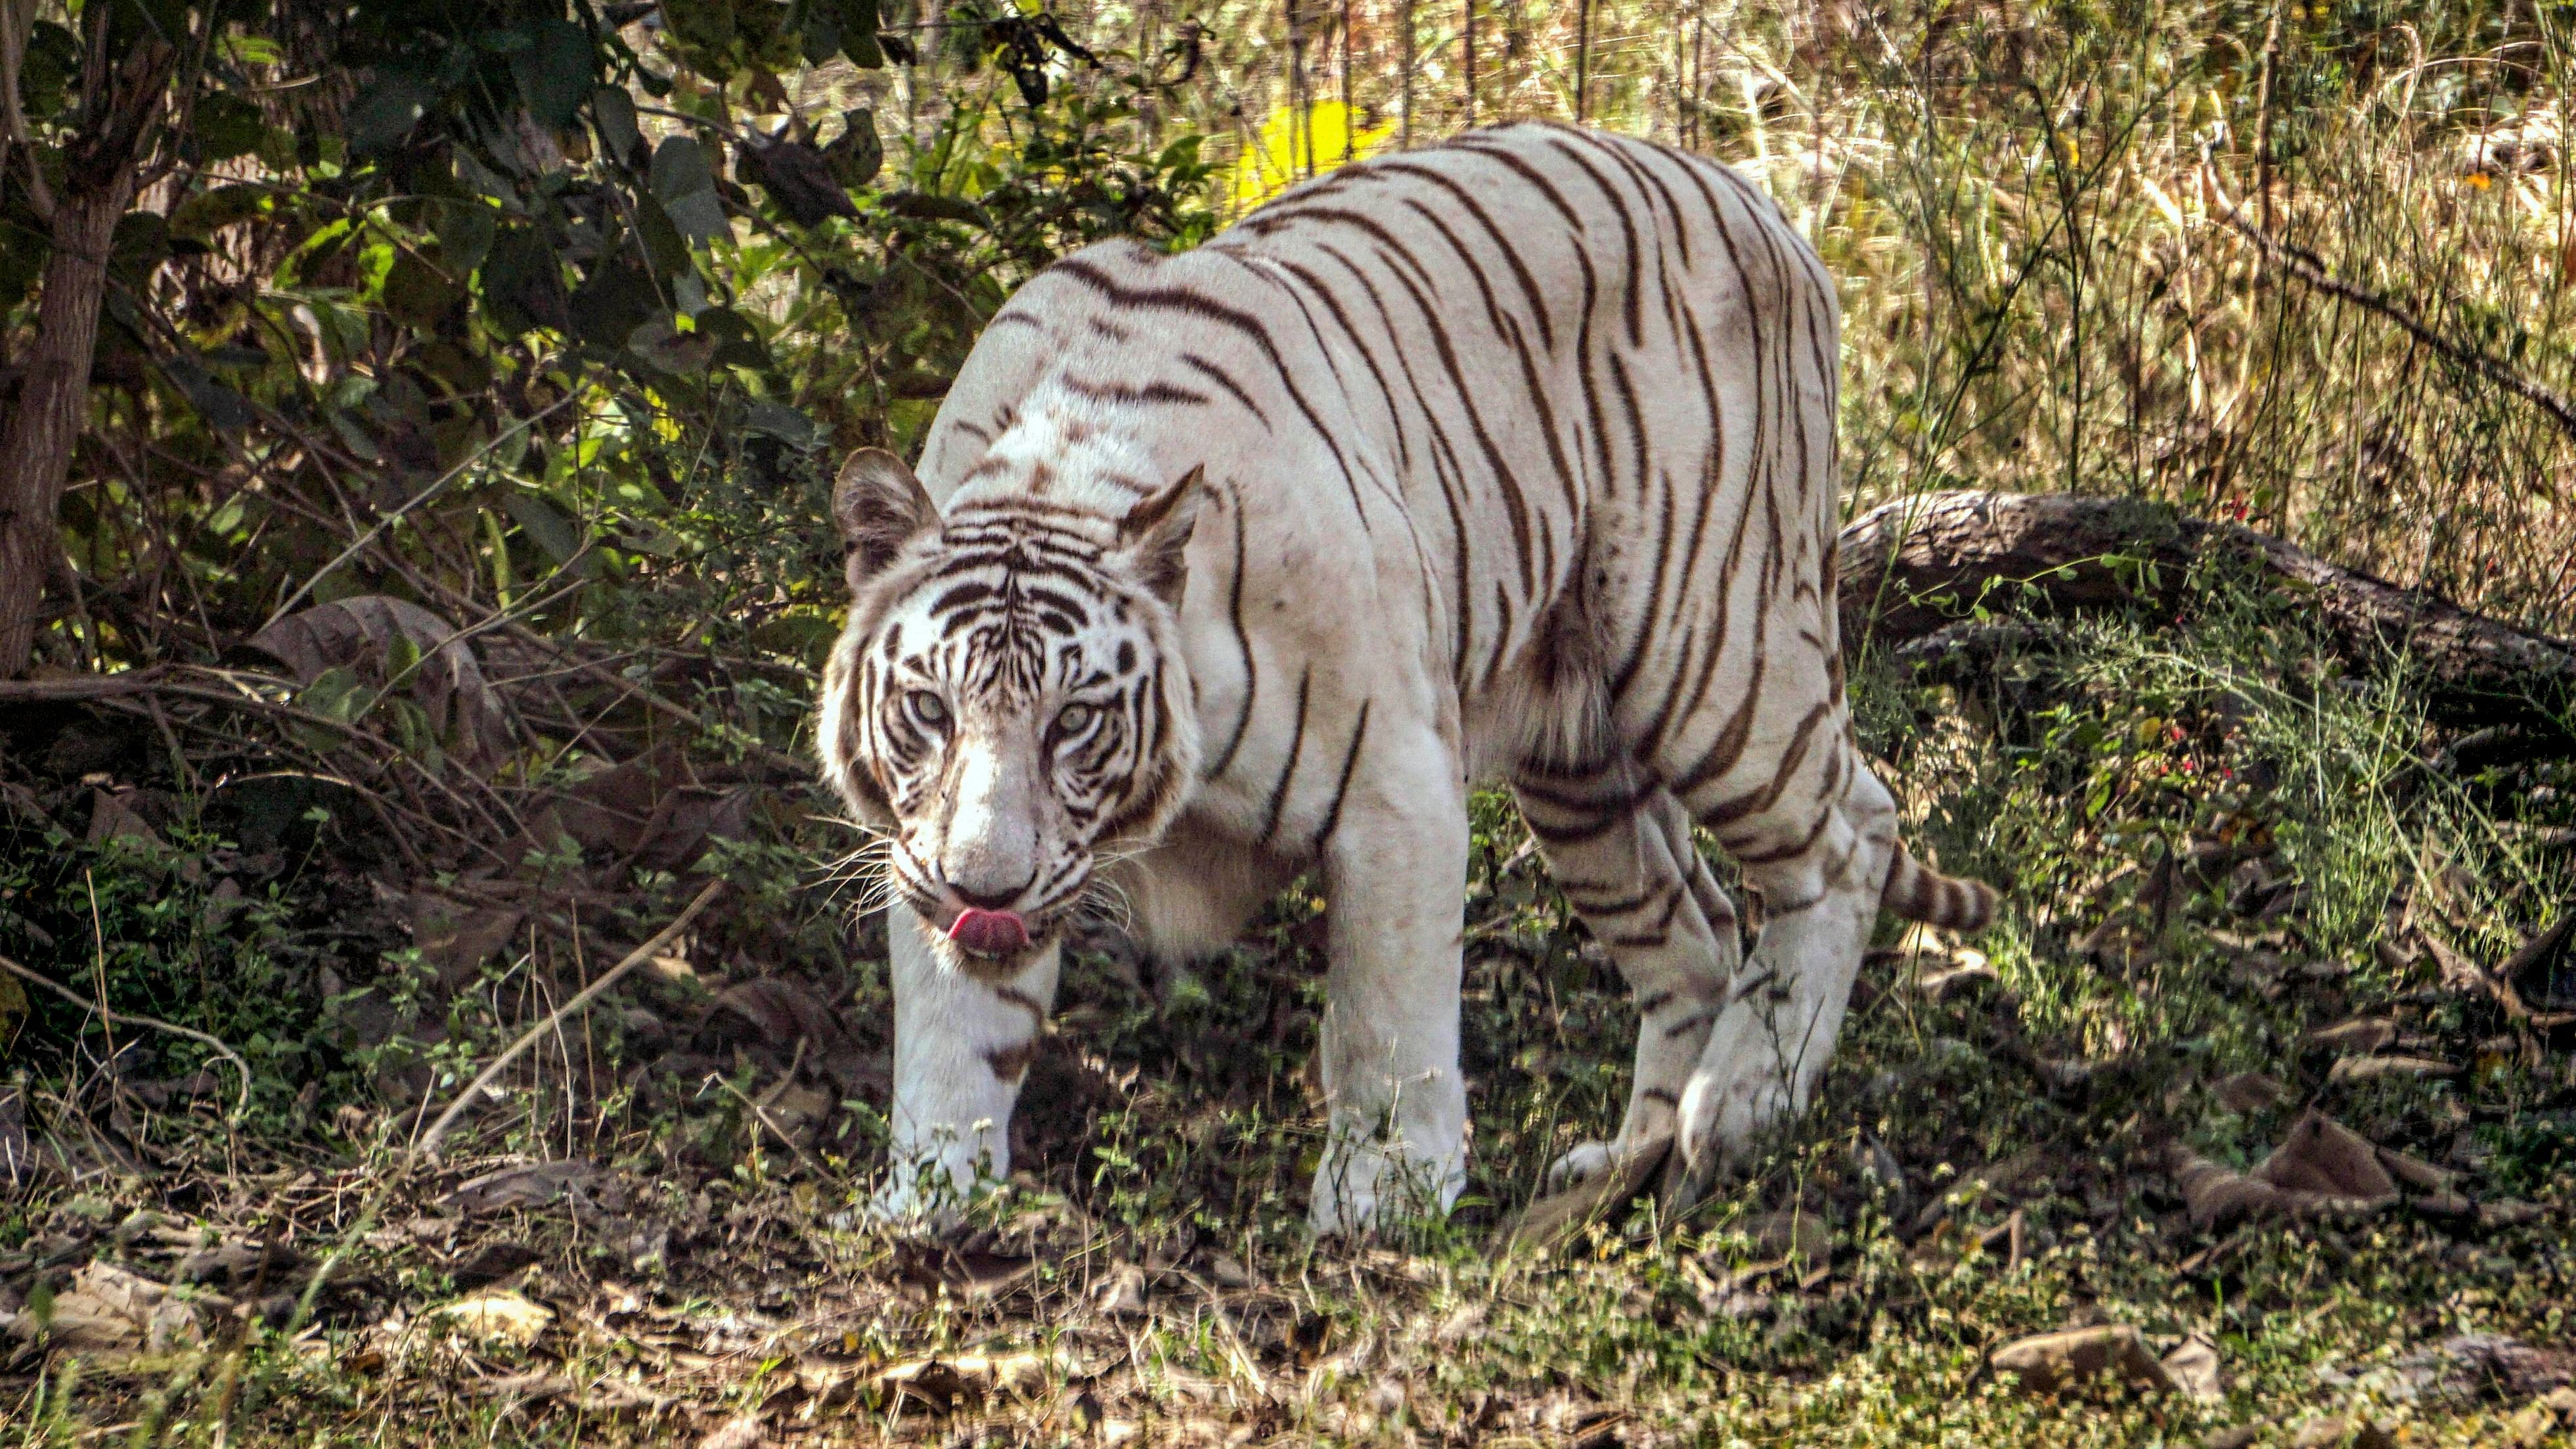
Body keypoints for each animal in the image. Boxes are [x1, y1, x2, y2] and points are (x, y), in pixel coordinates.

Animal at [814, 123, 1999, 1227]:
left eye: (1075, 722)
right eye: (928, 709)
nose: (985, 890)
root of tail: (1751, 196)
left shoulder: (1393, 785)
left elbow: (1382, 1016)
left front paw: (1380, 1199)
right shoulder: (917, 845)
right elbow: (951, 1027)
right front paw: (927, 1198)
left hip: (1710, 647)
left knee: (1848, 836)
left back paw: (1747, 1100)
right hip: (1580, 765)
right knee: (1696, 943)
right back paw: (1622, 1173)